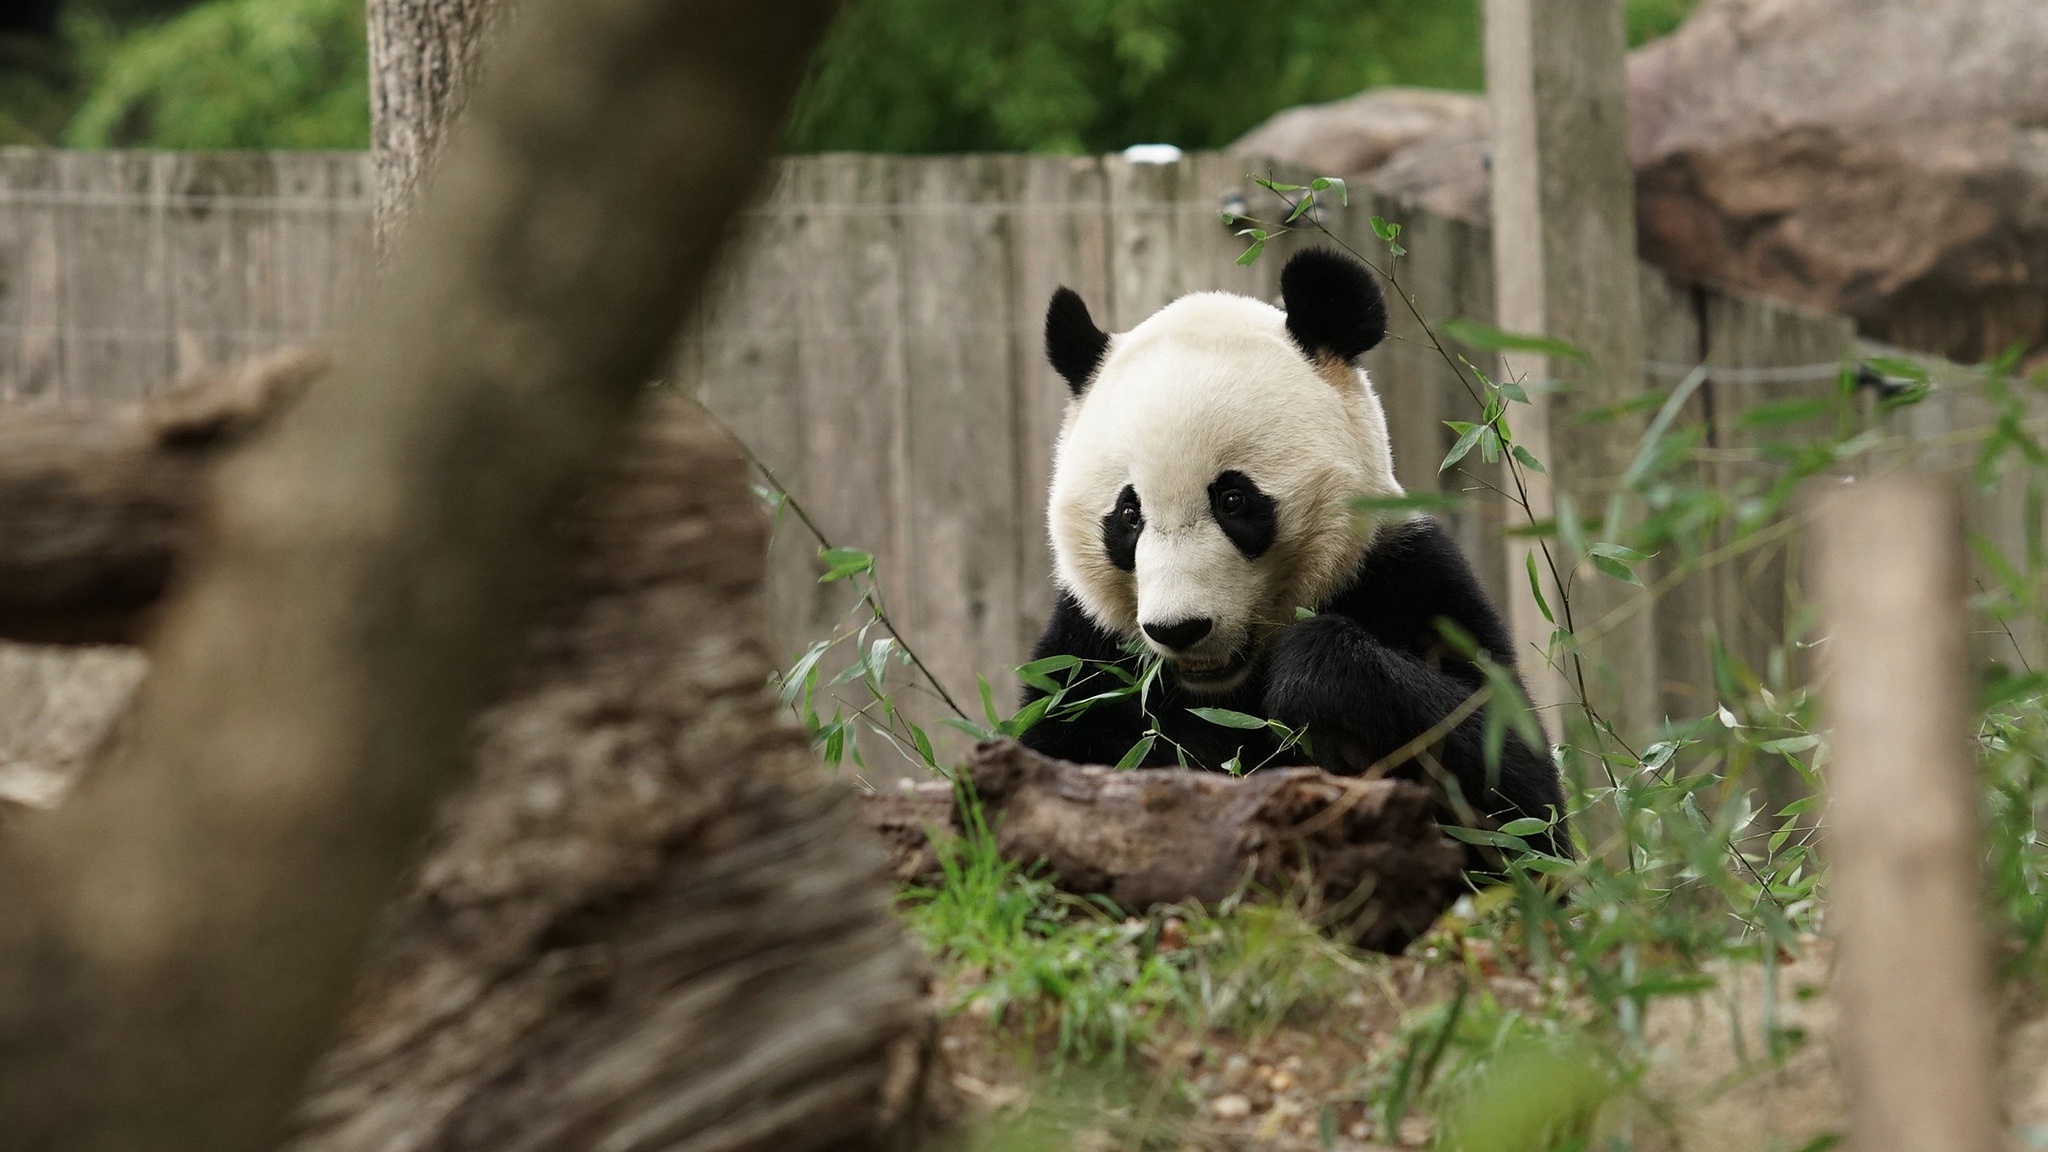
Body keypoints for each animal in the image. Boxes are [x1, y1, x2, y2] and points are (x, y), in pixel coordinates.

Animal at [1019, 243, 1564, 852]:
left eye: (1233, 500)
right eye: (1128, 515)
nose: (1179, 629)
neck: (1219, 688)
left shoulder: (1406, 577)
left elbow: (1519, 798)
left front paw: (1311, 677)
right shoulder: (1087, 658)